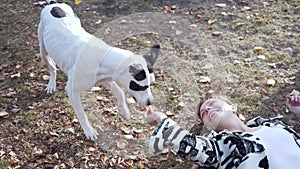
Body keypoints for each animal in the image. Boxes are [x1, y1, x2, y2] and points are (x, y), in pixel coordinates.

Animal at [38, 0, 159, 140]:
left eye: (151, 84)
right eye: (141, 86)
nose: (151, 102)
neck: (103, 57)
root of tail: (53, 4)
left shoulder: (105, 79)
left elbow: (120, 92)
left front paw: (124, 111)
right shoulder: (72, 91)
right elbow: (82, 114)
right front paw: (89, 130)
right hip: (43, 52)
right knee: (52, 67)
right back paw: (51, 84)